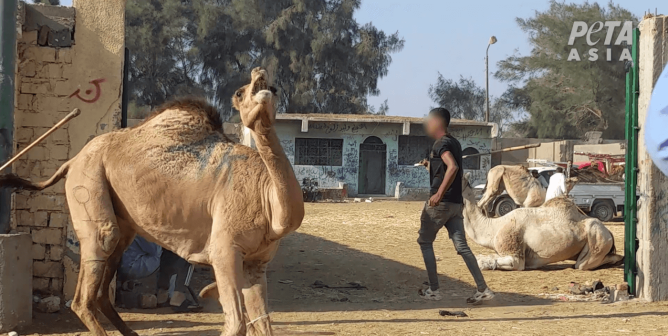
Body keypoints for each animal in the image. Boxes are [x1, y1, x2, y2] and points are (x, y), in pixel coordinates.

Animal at [0, 67, 302, 336]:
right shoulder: (224, 249)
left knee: (105, 278)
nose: (259, 73)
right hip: (88, 180)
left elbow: (263, 324)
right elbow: (236, 324)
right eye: (240, 93)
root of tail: (71, 161)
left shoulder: (257, 263)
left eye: (274, 88)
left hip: (121, 219)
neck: (266, 196)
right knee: (91, 273)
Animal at [460, 175, 620, 272]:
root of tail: (609, 233)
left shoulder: (515, 253)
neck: (494, 227)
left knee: (584, 264)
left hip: (597, 240)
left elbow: (492, 262)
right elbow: (482, 257)